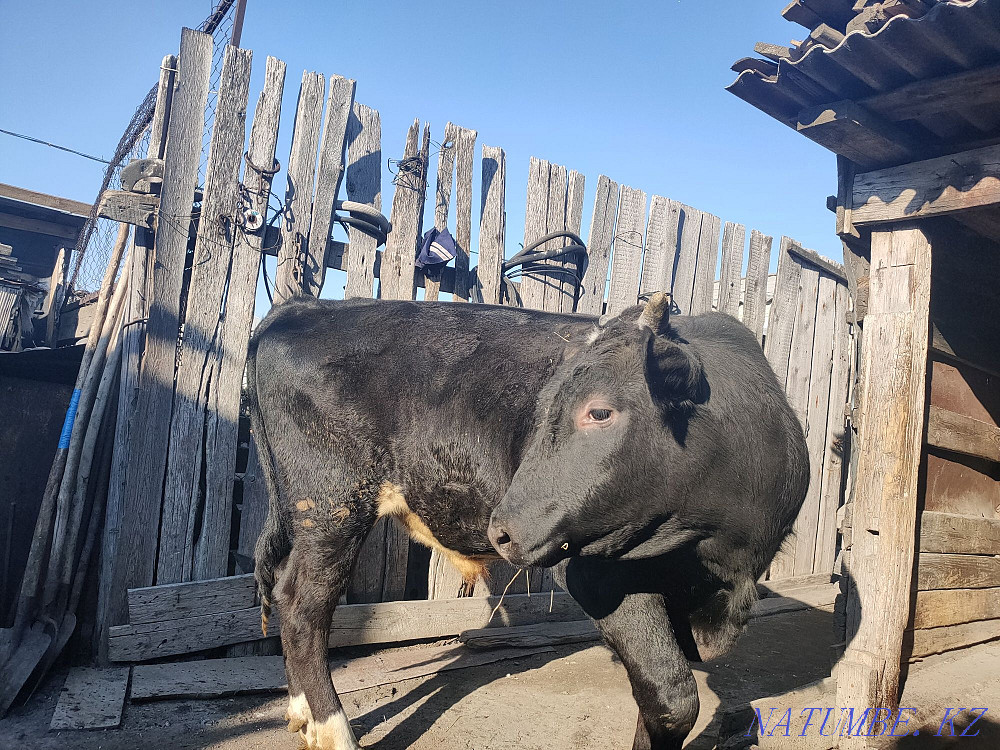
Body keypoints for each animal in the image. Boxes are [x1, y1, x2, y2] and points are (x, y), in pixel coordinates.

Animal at [248, 291, 809, 750]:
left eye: (599, 412)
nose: (503, 529)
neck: (716, 559)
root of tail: (302, 308)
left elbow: (654, 696)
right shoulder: (597, 573)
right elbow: (671, 698)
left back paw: (301, 714)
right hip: (331, 508)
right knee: (303, 606)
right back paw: (333, 732)